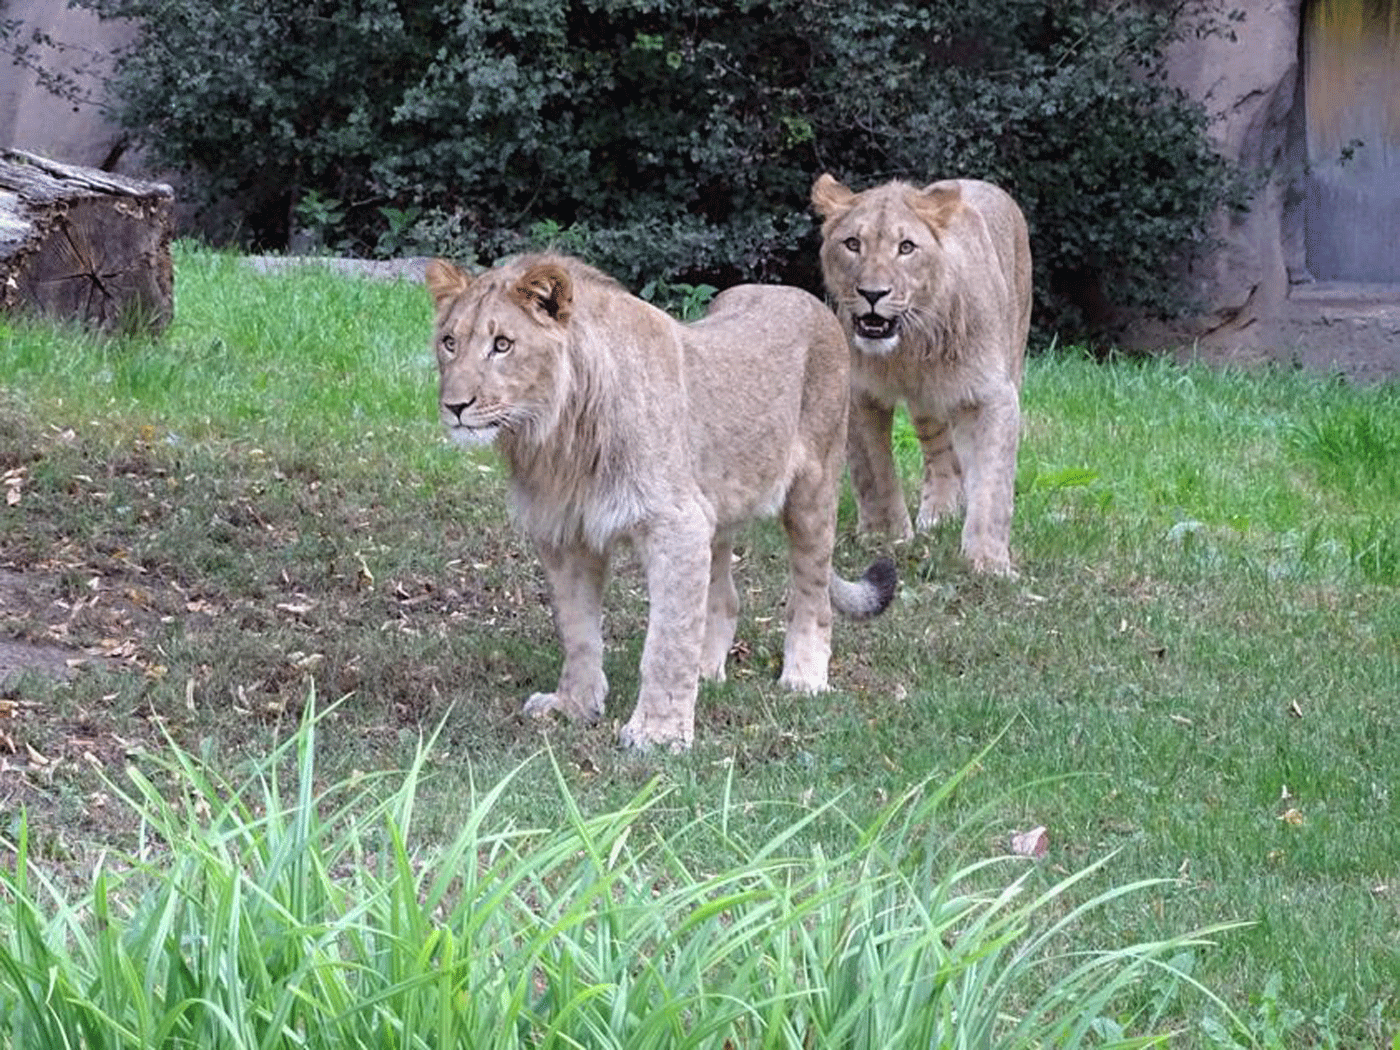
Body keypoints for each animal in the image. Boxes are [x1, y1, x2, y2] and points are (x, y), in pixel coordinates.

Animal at [420, 253, 896, 750]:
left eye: (503, 345)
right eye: (450, 342)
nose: (454, 406)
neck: (555, 437)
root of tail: (807, 298)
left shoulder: (677, 524)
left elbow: (668, 639)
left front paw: (659, 733)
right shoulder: (565, 534)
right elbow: (577, 629)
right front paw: (574, 705)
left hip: (814, 487)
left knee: (812, 593)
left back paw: (804, 677)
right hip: (716, 505)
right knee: (724, 598)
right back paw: (706, 672)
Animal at [812, 173, 1030, 576]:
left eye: (906, 247)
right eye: (852, 244)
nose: (873, 293)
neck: (909, 348)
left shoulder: (993, 395)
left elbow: (993, 482)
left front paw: (987, 561)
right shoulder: (859, 393)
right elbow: (874, 472)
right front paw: (887, 536)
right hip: (927, 406)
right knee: (941, 454)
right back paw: (939, 512)